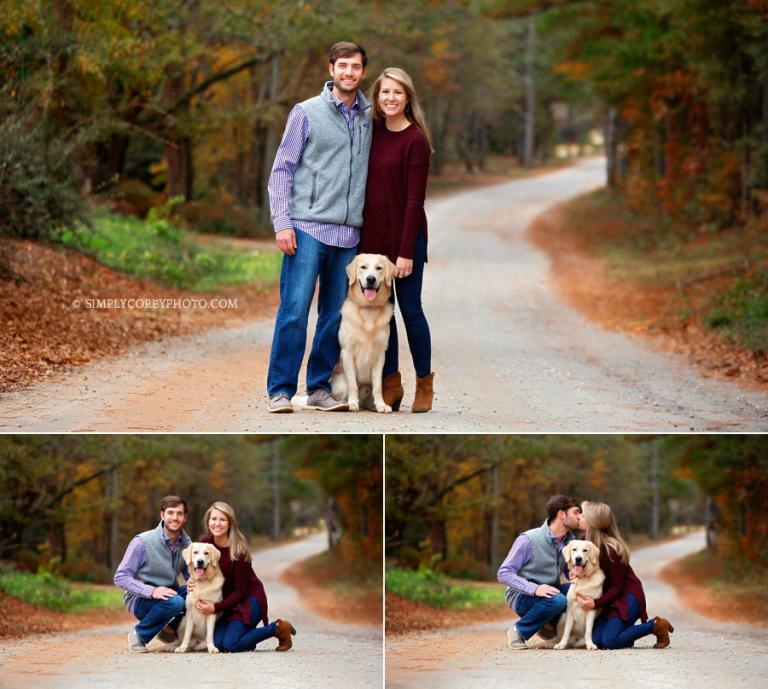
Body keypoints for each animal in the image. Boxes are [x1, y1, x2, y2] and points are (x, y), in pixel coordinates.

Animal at [330, 254, 396, 412]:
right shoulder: (347, 352)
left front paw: (381, 405)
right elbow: (352, 384)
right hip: (341, 385)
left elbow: (377, 387)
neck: (369, 309)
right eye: (363, 267)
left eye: (379, 268)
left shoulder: (380, 354)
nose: (371, 279)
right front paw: (353, 403)